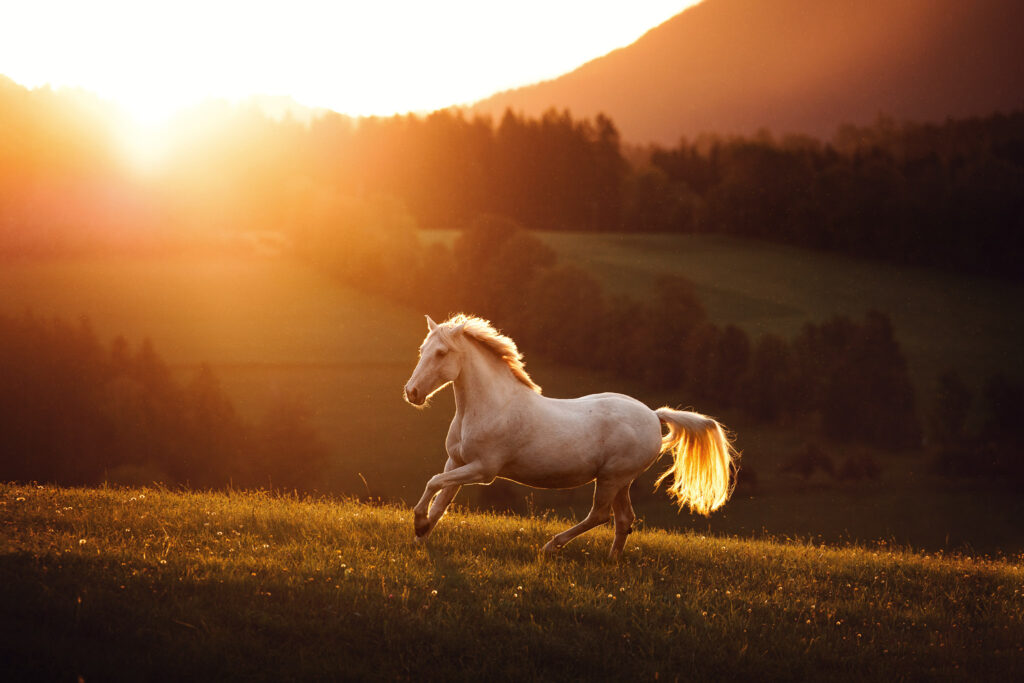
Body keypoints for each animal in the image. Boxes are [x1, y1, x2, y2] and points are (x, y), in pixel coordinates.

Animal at [403, 313, 738, 559]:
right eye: (421, 350)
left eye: (442, 353)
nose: (412, 393)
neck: (493, 406)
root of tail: (654, 416)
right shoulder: (456, 462)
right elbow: (440, 499)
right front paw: (421, 536)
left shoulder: (483, 470)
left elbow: (433, 484)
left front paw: (419, 525)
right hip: (622, 482)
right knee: (624, 519)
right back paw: (612, 561)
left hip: (611, 478)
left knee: (600, 516)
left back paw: (551, 547)